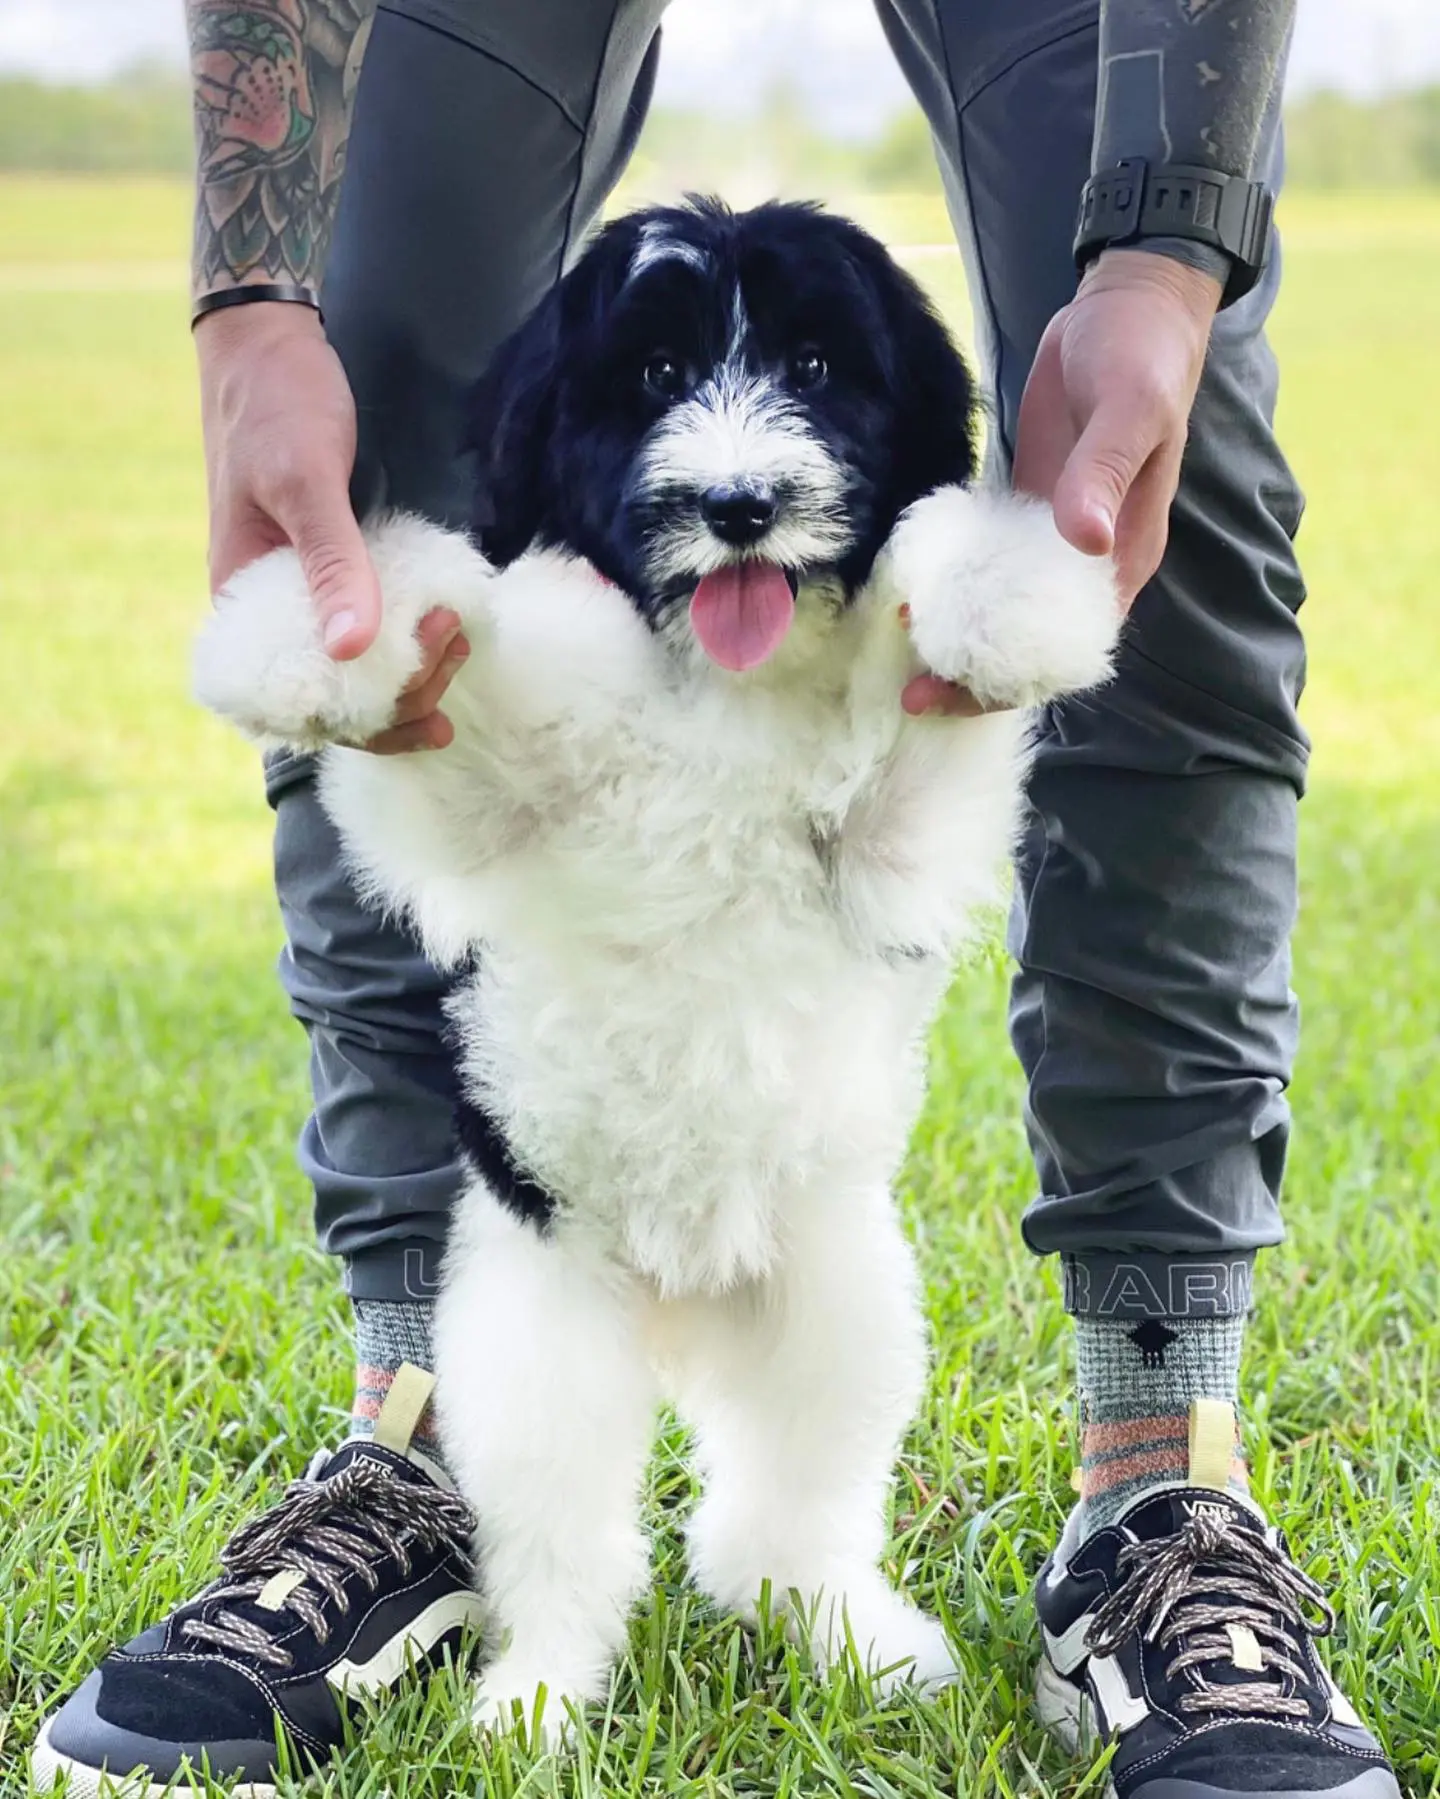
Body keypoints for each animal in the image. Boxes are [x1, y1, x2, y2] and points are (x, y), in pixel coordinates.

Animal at [194, 193, 1116, 1727]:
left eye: (816, 365)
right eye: (654, 376)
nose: (739, 505)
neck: (717, 700)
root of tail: (690, 1290)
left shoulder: (888, 841)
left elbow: (937, 667)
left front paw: (1013, 595)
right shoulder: (493, 796)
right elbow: (447, 657)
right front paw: (307, 625)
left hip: (838, 1300)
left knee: (786, 1505)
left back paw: (846, 1633)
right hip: (535, 1333)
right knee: (571, 1541)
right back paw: (541, 1696)